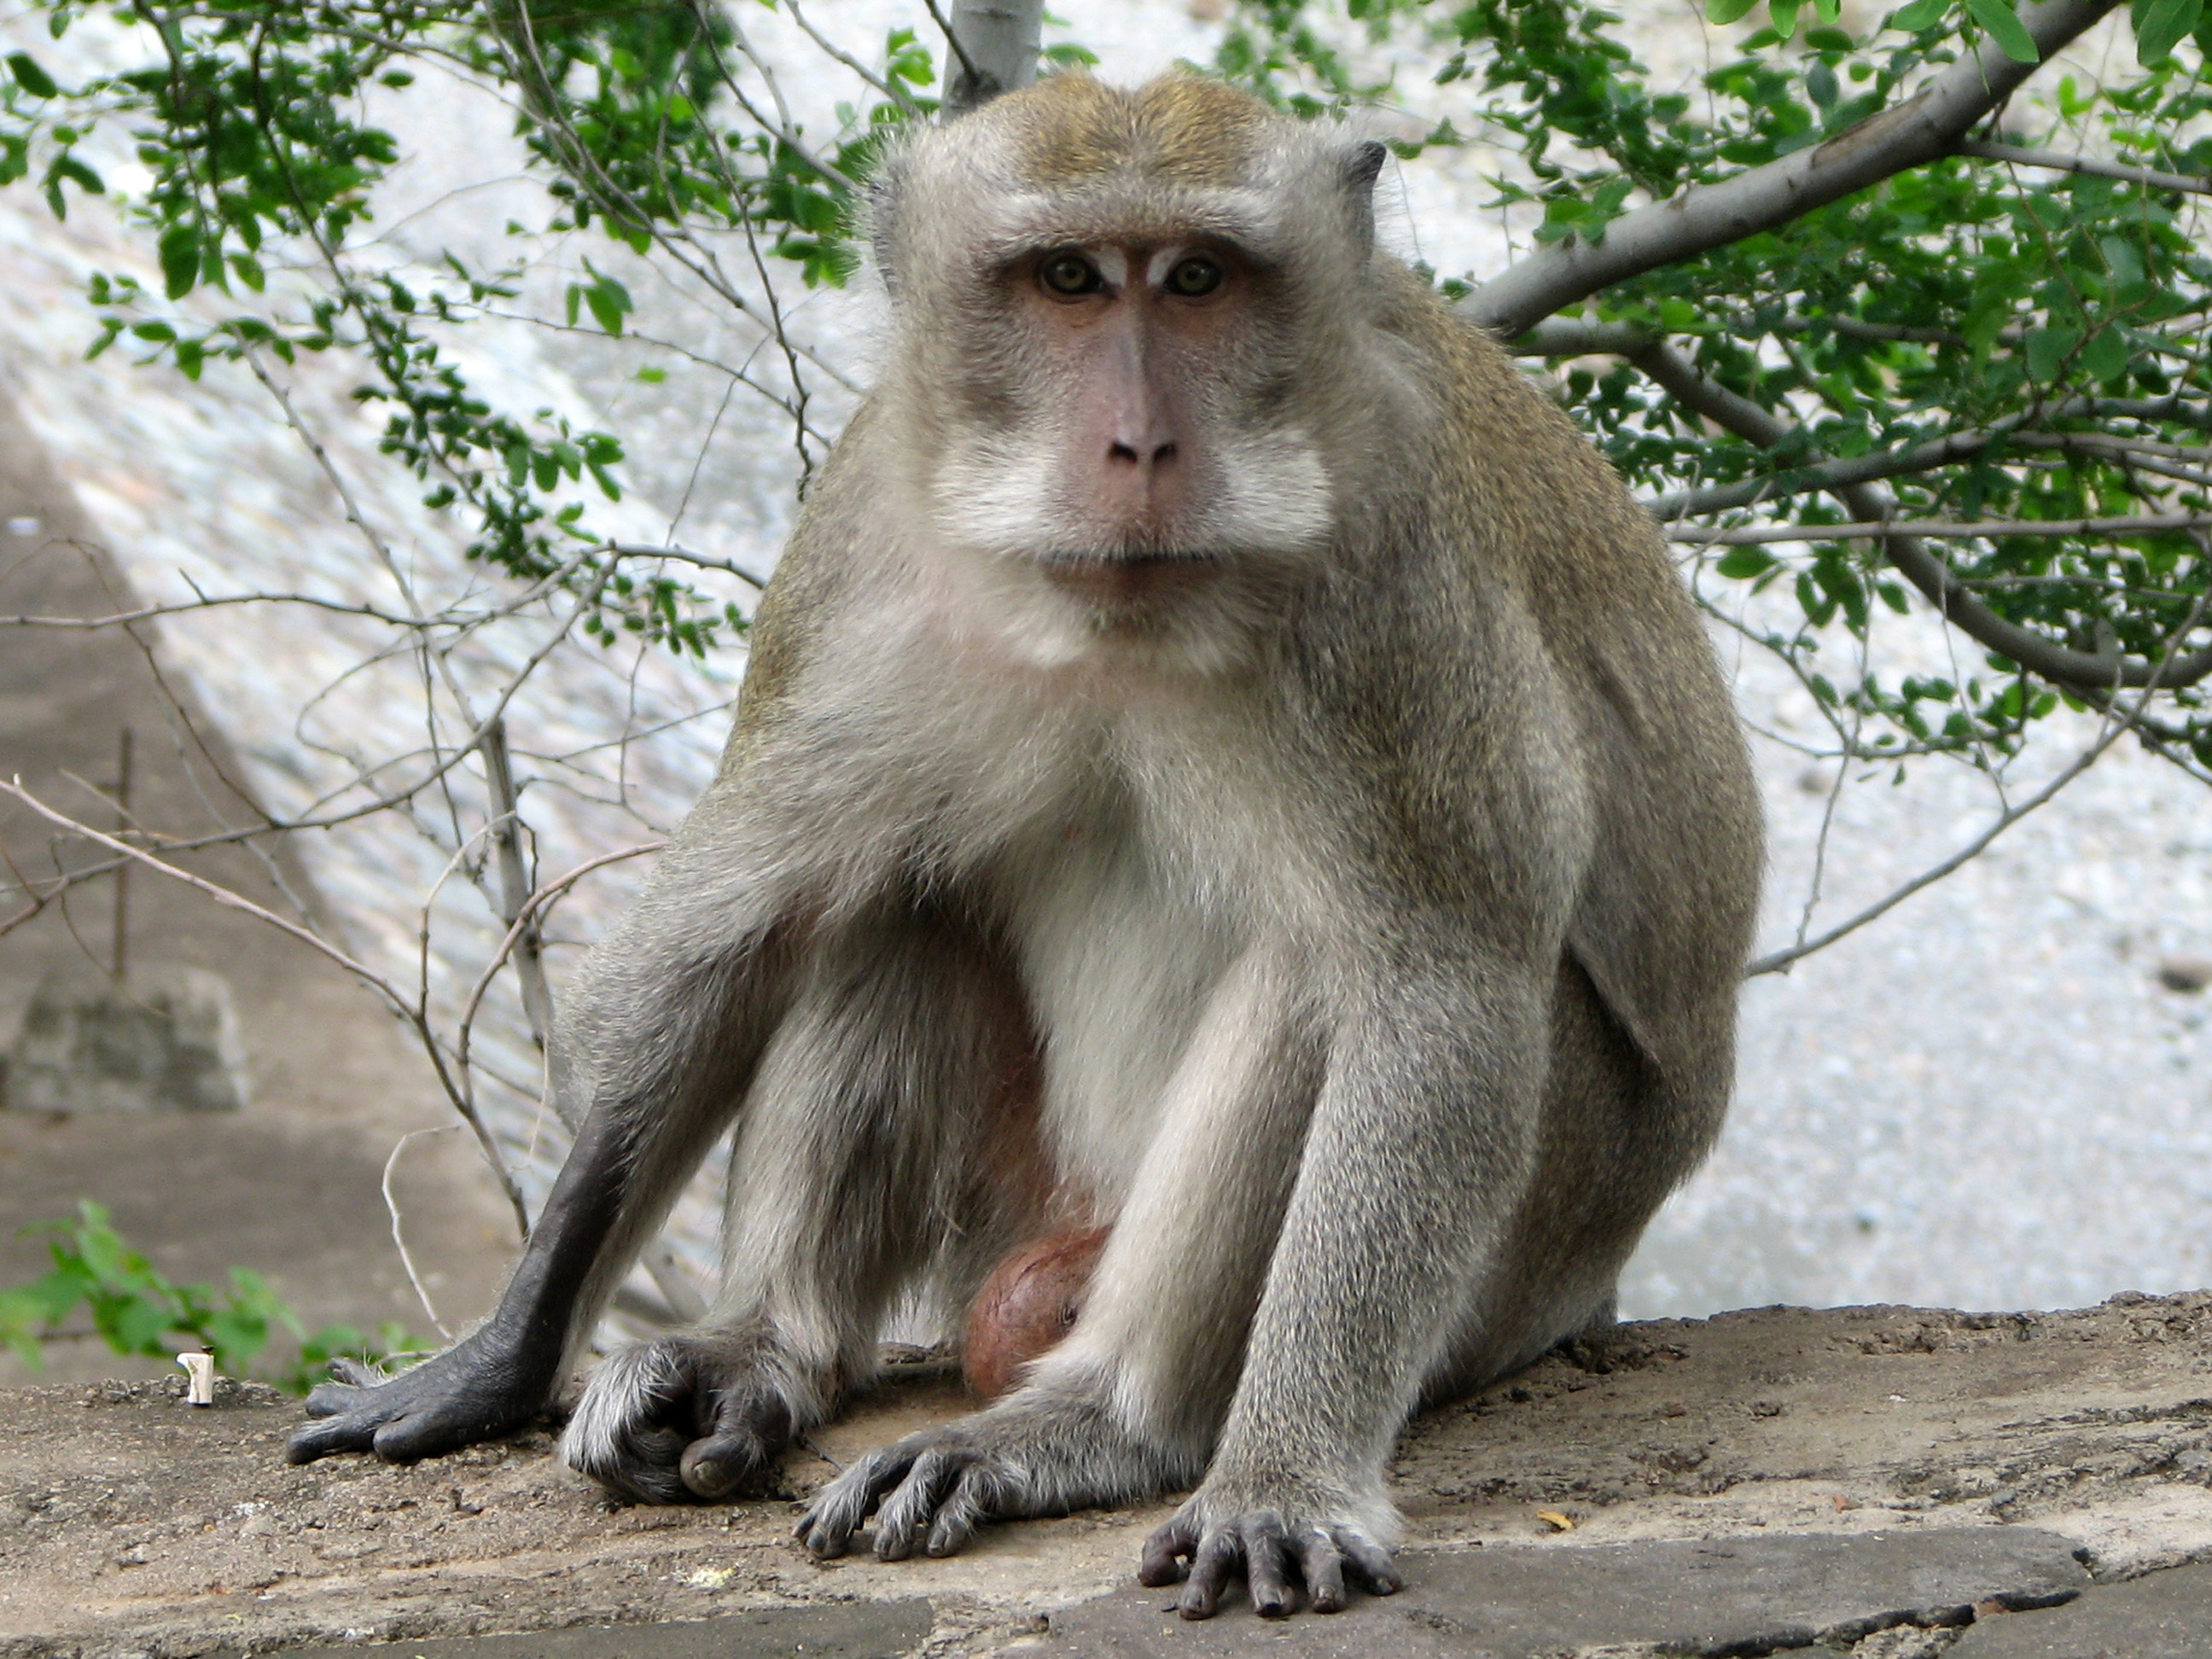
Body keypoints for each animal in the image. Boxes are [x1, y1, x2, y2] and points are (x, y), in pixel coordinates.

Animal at [285, 74, 1751, 1627]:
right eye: (1066, 280)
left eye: (1197, 280)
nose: (1141, 446)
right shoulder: (861, 524)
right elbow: (731, 928)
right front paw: (499, 1355)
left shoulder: (1395, 582)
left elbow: (1440, 989)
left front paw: (1283, 1474)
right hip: (1018, 1199)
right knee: (885, 892)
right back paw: (765, 1348)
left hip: (1524, 1250)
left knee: (1317, 976)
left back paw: (1098, 1420)